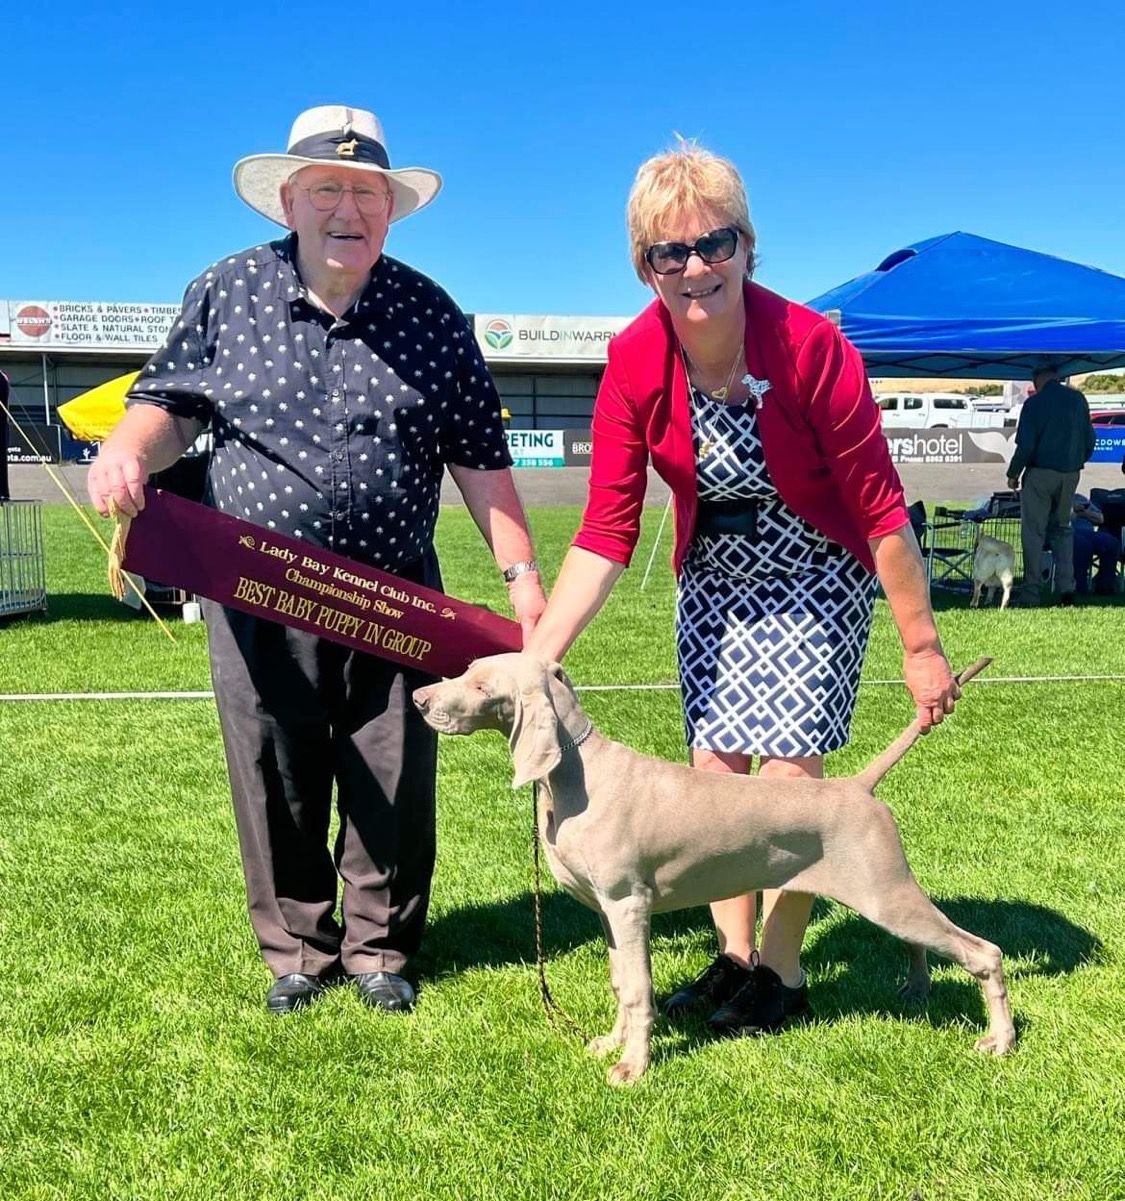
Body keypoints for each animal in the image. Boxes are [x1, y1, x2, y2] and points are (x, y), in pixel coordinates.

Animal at [413, 654, 1015, 1085]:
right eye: (467, 670)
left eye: (481, 686)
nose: (419, 698)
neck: (579, 776)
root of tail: (858, 786)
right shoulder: (607, 913)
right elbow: (619, 982)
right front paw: (612, 1042)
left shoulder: (629, 904)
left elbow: (639, 988)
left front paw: (633, 1066)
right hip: (881, 894)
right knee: (921, 942)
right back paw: (916, 988)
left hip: (884, 891)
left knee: (984, 952)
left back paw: (1001, 1041)